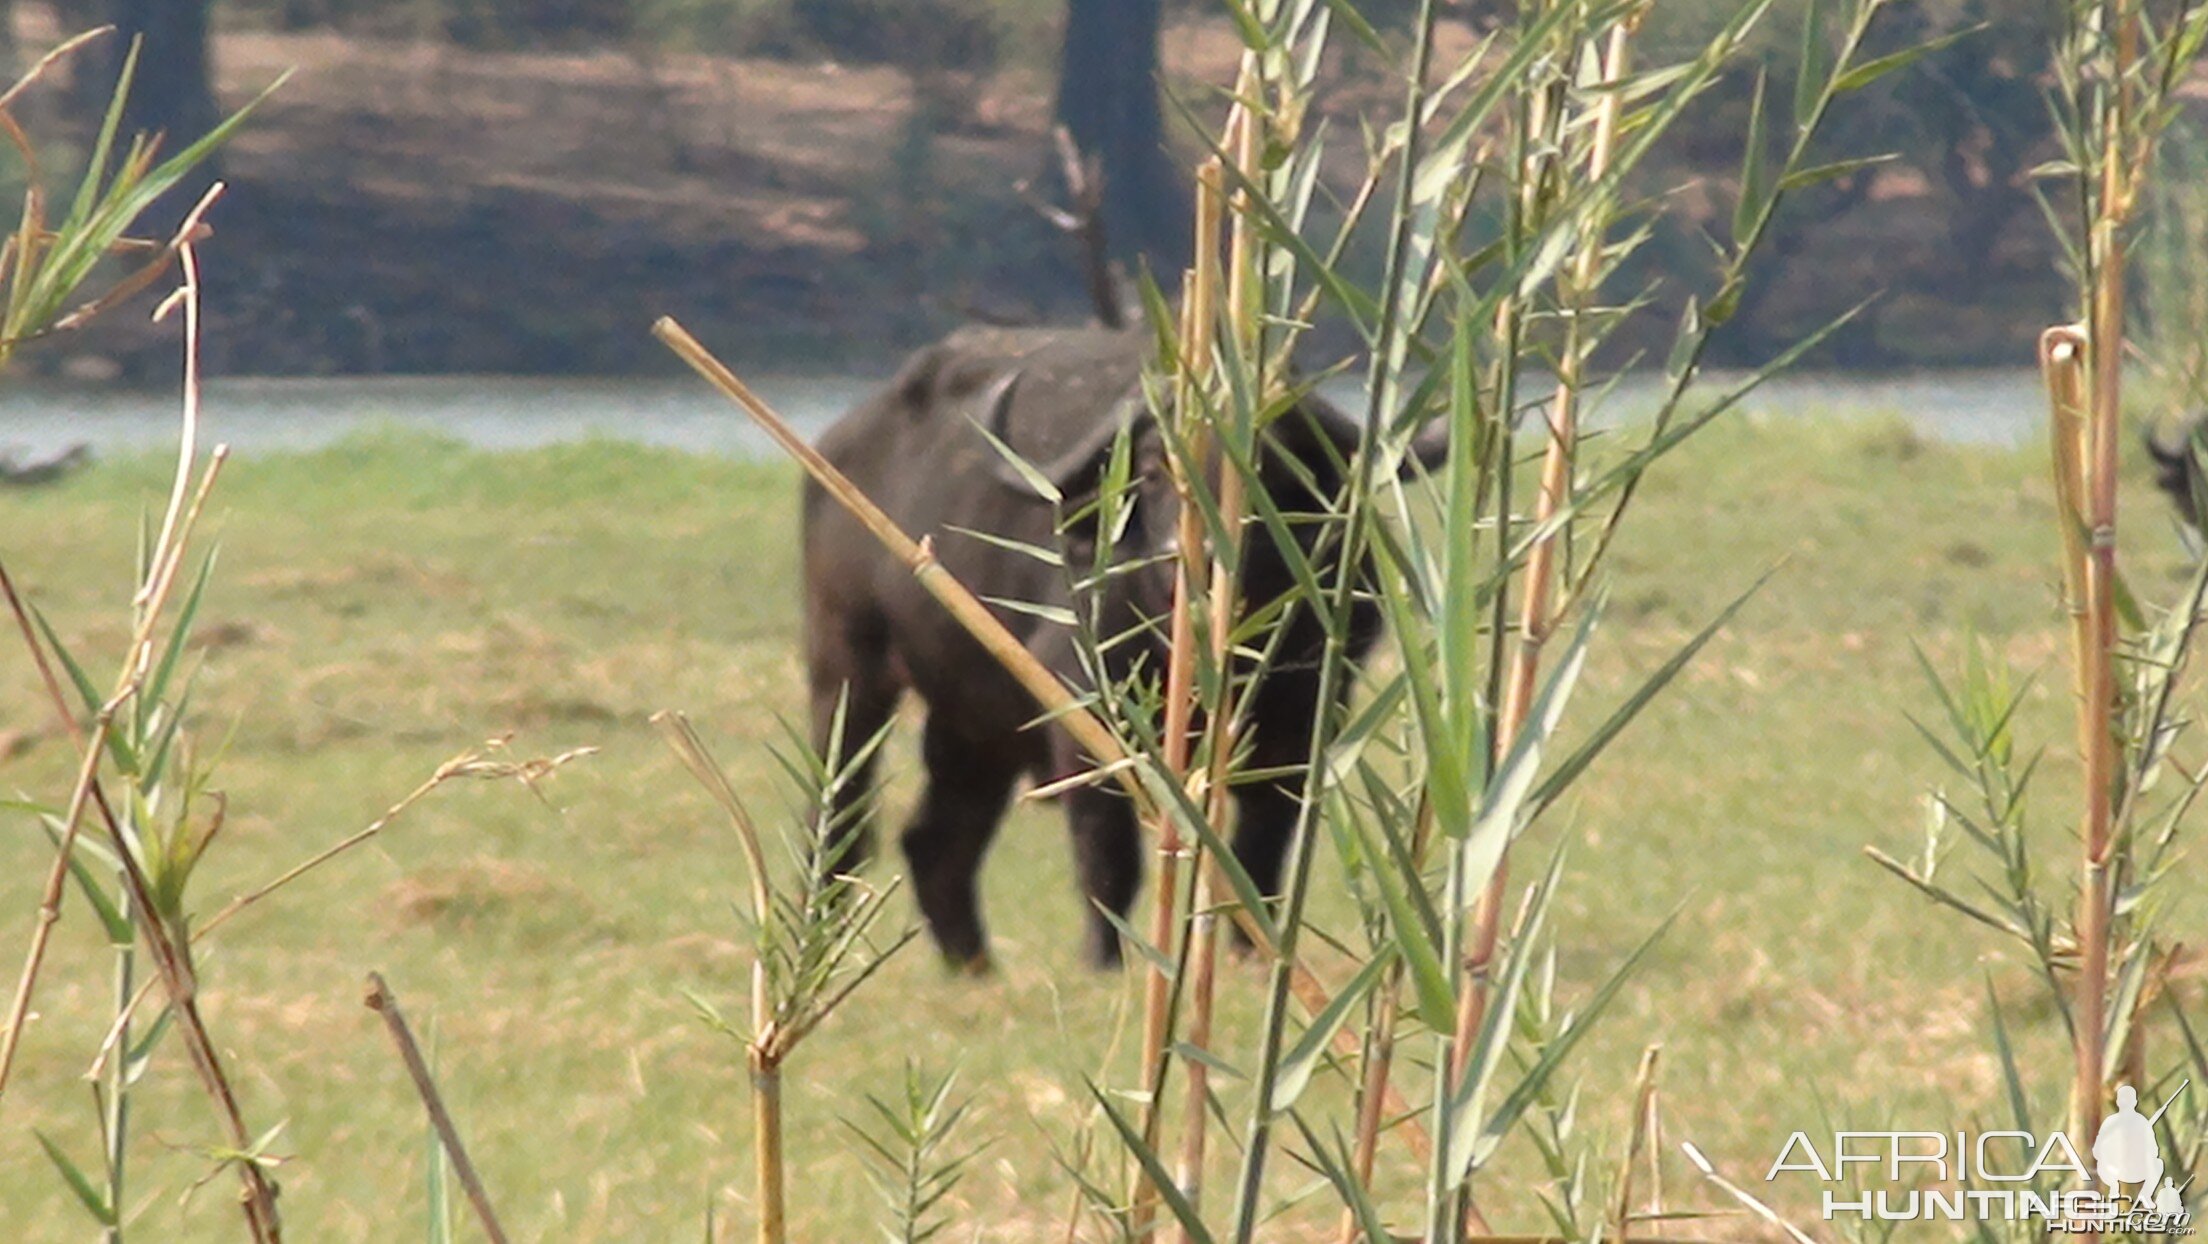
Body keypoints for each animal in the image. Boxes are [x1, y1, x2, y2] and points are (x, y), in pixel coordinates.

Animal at [803, 327, 1421, 967]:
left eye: (1270, 466)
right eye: (1151, 466)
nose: (1187, 554)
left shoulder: (1303, 726)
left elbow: (1260, 853)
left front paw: (1252, 957)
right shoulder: (1089, 725)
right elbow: (1109, 856)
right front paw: (1104, 959)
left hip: (974, 721)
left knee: (938, 841)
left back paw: (973, 966)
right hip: (846, 664)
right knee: (840, 813)